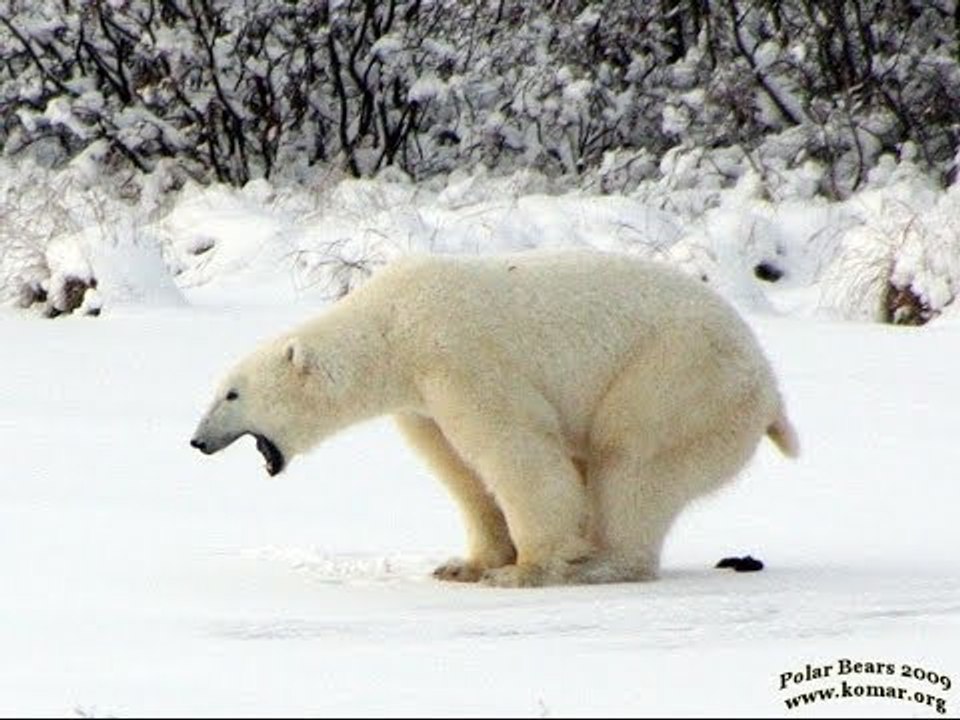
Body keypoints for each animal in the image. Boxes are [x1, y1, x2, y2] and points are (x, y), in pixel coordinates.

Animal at [190, 250, 799, 588]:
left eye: (232, 394)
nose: (196, 441)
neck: (391, 326)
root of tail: (770, 388)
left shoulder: (458, 354)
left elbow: (516, 449)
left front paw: (524, 569)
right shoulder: (422, 401)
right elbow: (460, 470)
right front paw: (463, 565)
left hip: (679, 378)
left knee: (632, 463)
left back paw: (601, 562)